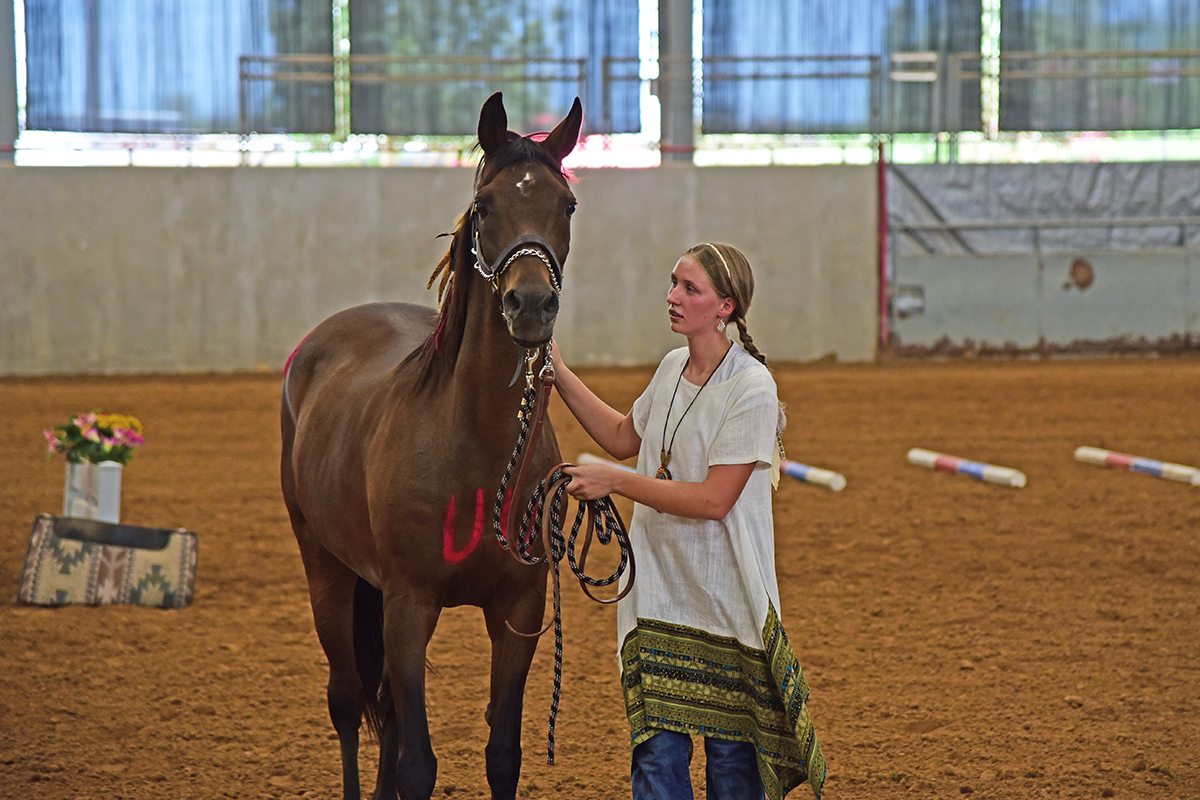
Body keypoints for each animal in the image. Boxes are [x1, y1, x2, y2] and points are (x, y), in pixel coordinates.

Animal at [280, 92, 582, 800]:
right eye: (486, 205)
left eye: (567, 205)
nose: (531, 304)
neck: (474, 446)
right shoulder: (408, 606)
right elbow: (418, 760)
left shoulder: (518, 610)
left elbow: (502, 753)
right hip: (325, 567)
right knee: (348, 700)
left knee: (386, 708)